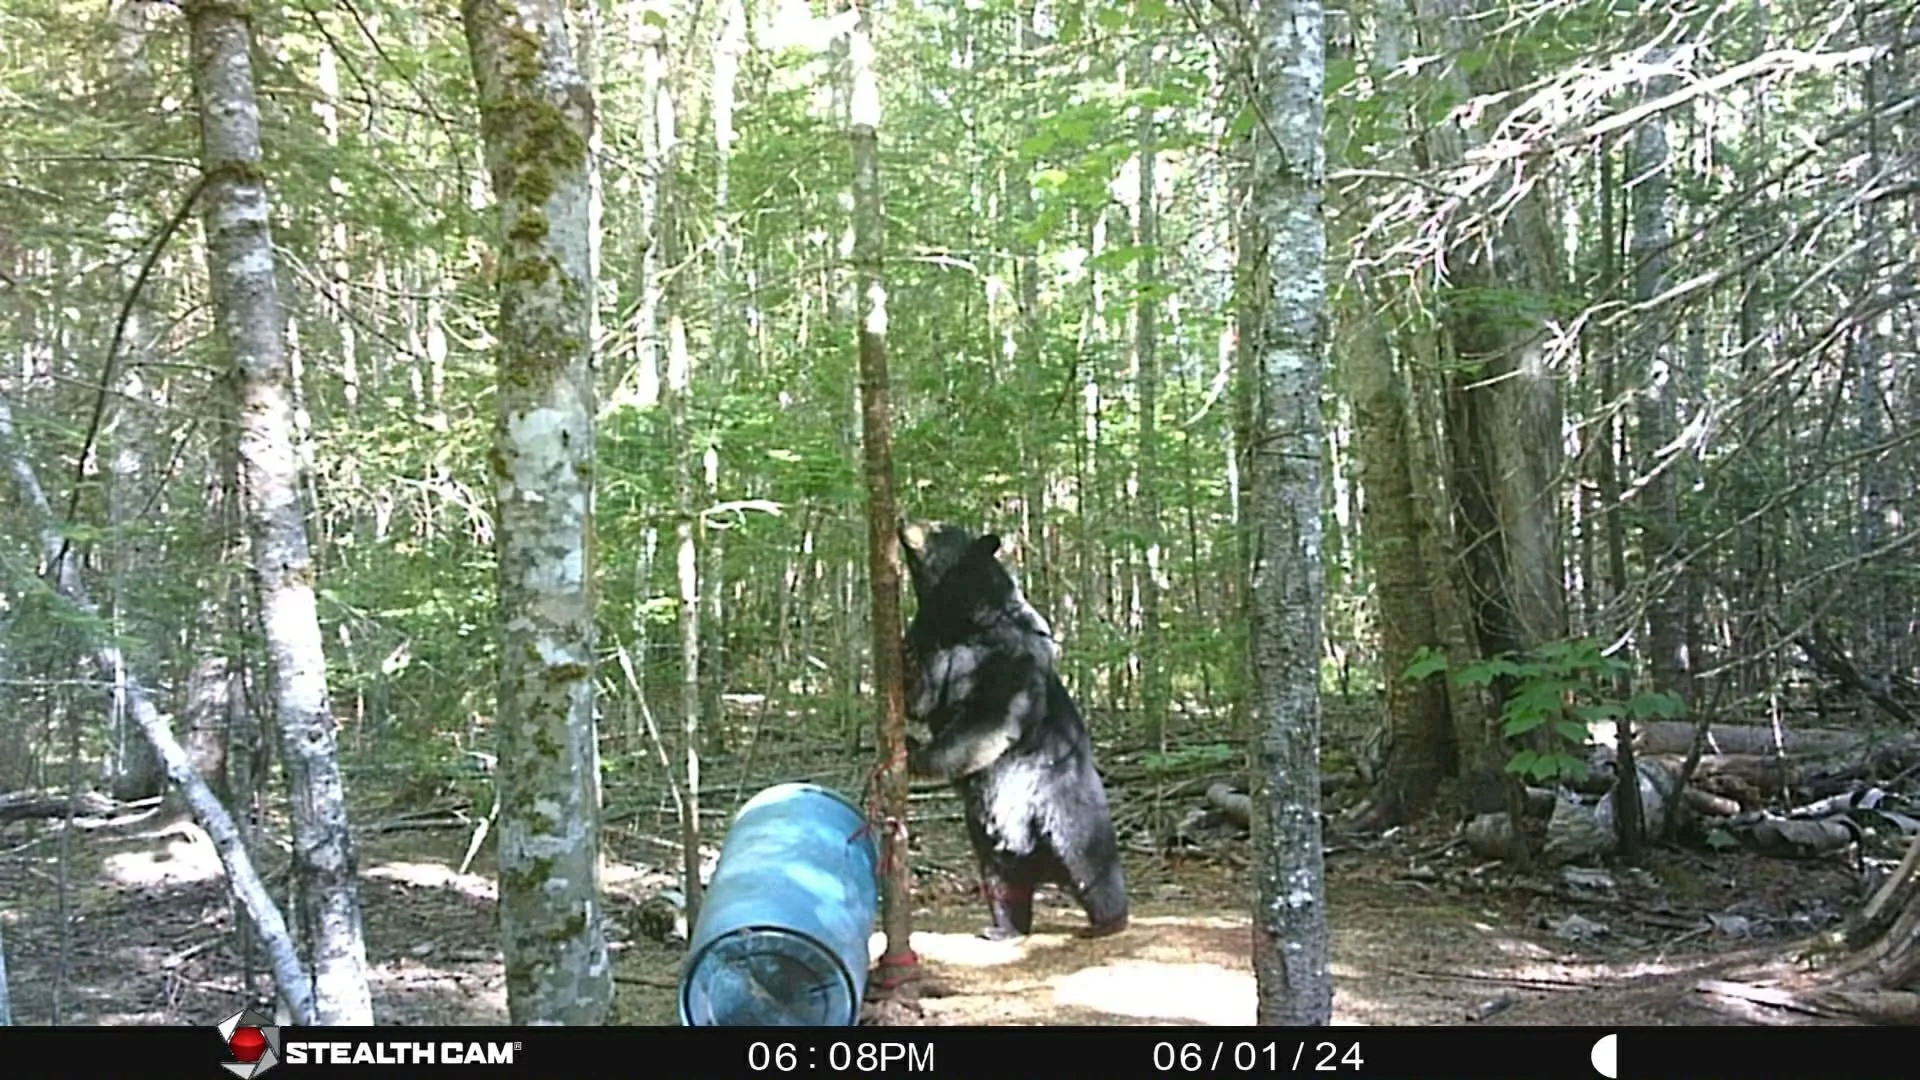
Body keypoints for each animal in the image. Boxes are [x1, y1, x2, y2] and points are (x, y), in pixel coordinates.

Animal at [897, 519, 1128, 941]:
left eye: (937, 527)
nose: (903, 520)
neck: (963, 619)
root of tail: (1041, 865)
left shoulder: (1008, 656)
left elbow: (989, 718)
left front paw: (918, 755)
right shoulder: (936, 643)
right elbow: (920, 695)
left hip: (1067, 810)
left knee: (1093, 865)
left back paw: (1107, 922)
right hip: (989, 841)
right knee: (1002, 883)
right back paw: (1003, 928)